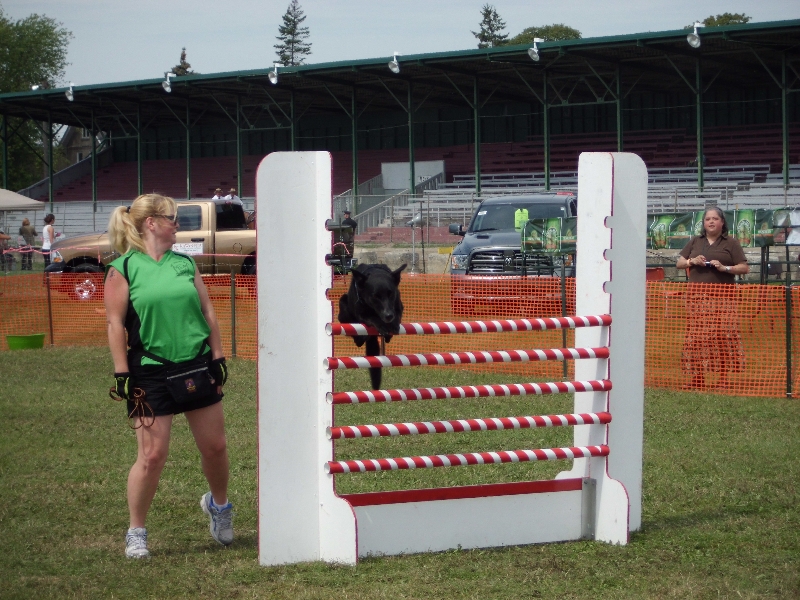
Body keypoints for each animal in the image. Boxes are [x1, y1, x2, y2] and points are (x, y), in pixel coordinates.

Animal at [338, 262, 406, 390]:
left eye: (390, 293)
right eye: (376, 296)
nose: (388, 315)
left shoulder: (398, 304)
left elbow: (397, 314)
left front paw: (393, 324)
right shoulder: (361, 312)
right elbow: (371, 318)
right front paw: (382, 325)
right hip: (342, 303)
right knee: (357, 337)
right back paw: (362, 338)